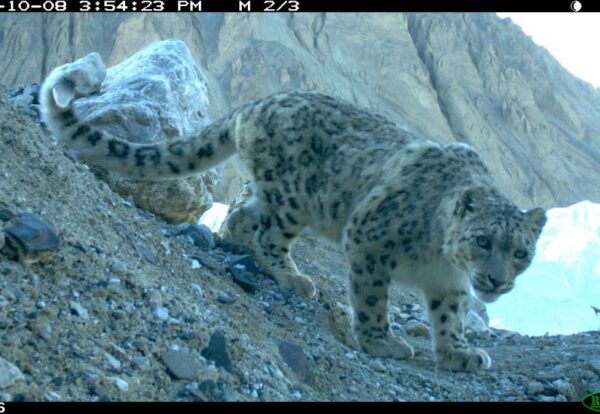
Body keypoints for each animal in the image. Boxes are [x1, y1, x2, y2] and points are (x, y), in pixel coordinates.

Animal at [41, 55, 548, 372]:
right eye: (483, 240)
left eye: (521, 252)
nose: (497, 280)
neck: (440, 259)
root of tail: (256, 105)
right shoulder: (370, 239)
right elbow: (371, 298)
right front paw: (381, 340)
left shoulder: (449, 284)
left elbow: (449, 317)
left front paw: (460, 353)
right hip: (294, 200)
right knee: (269, 236)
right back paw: (292, 277)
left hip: (277, 196)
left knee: (243, 217)